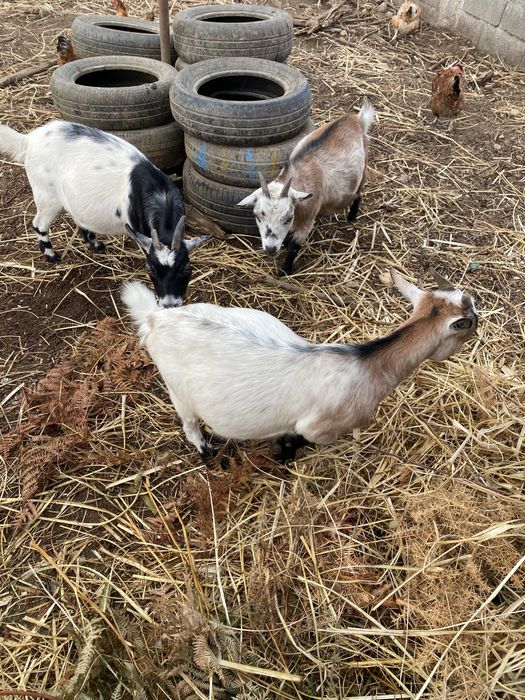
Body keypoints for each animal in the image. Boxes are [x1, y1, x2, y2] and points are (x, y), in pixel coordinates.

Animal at [0, 120, 209, 307]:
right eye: (150, 269)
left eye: (186, 268)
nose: (169, 304)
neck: (159, 193)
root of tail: (30, 140)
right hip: (46, 195)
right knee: (39, 223)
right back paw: (51, 255)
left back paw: (95, 244)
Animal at [122, 268, 478, 462]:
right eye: (470, 323)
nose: (478, 328)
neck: (369, 363)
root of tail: (155, 318)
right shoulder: (320, 427)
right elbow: (299, 436)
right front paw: (284, 456)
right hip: (178, 389)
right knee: (188, 422)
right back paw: (204, 449)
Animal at [236, 101, 375, 276]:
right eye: (257, 216)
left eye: (288, 218)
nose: (270, 249)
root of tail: (357, 120)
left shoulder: (307, 222)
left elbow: (295, 247)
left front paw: (285, 271)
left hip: (363, 168)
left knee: (358, 193)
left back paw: (352, 215)